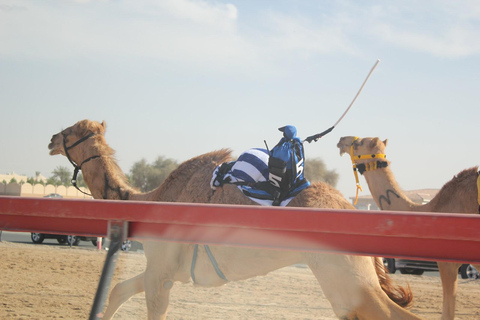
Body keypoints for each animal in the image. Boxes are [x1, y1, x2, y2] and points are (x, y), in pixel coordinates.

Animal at [47, 120, 424, 320]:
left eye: (72, 131)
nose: (51, 139)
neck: (151, 201)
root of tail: (351, 208)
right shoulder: (163, 271)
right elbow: (117, 290)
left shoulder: (160, 275)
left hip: (344, 276)